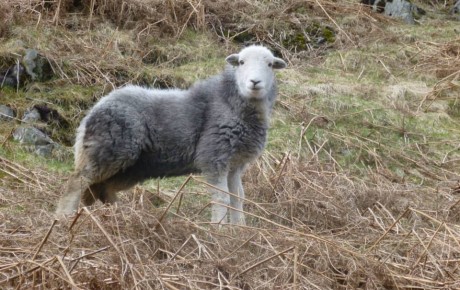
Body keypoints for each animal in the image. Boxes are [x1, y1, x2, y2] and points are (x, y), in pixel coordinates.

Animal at [55, 44, 286, 224]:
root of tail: (92, 111)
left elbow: (238, 198)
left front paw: (239, 230)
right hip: (110, 150)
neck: (230, 103)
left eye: (269, 64)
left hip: (132, 166)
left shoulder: (236, 163)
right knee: (76, 182)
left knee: (102, 188)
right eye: (241, 63)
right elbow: (222, 199)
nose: (254, 82)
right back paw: (64, 217)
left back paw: (119, 216)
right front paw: (219, 230)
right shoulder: (214, 157)